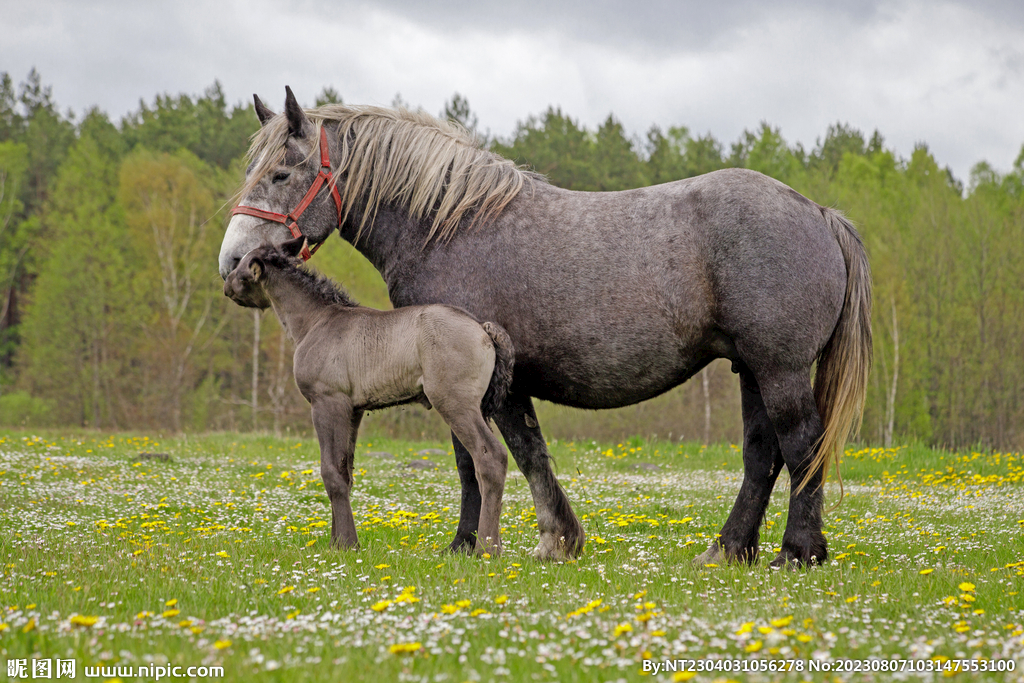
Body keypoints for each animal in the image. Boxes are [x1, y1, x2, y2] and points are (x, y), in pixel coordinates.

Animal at [223, 236, 515, 555]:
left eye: (241, 266)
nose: (226, 285)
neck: (315, 322)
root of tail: (483, 329)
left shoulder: (327, 401)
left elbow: (331, 473)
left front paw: (347, 543)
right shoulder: (354, 410)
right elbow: (345, 471)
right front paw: (336, 541)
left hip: (455, 403)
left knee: (491, 457)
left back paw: (487, 548)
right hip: (479, 408)